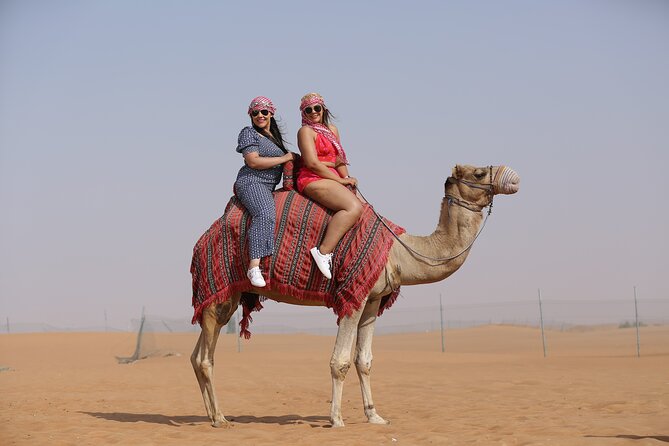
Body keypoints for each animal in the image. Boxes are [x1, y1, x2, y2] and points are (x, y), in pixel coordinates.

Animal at [191, 164, 520, 428]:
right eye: (479, 173)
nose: (514, 178)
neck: (399, 252)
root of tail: (204, 238)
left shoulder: (373, 300)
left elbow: (365, 361)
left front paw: (375, 416)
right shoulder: (353, 294)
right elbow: (340, 361)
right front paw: (336, 419)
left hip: (229, 297)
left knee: (197, 355)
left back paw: (212, 415)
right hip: (221, 289)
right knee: (206, 357)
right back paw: (220, 418)